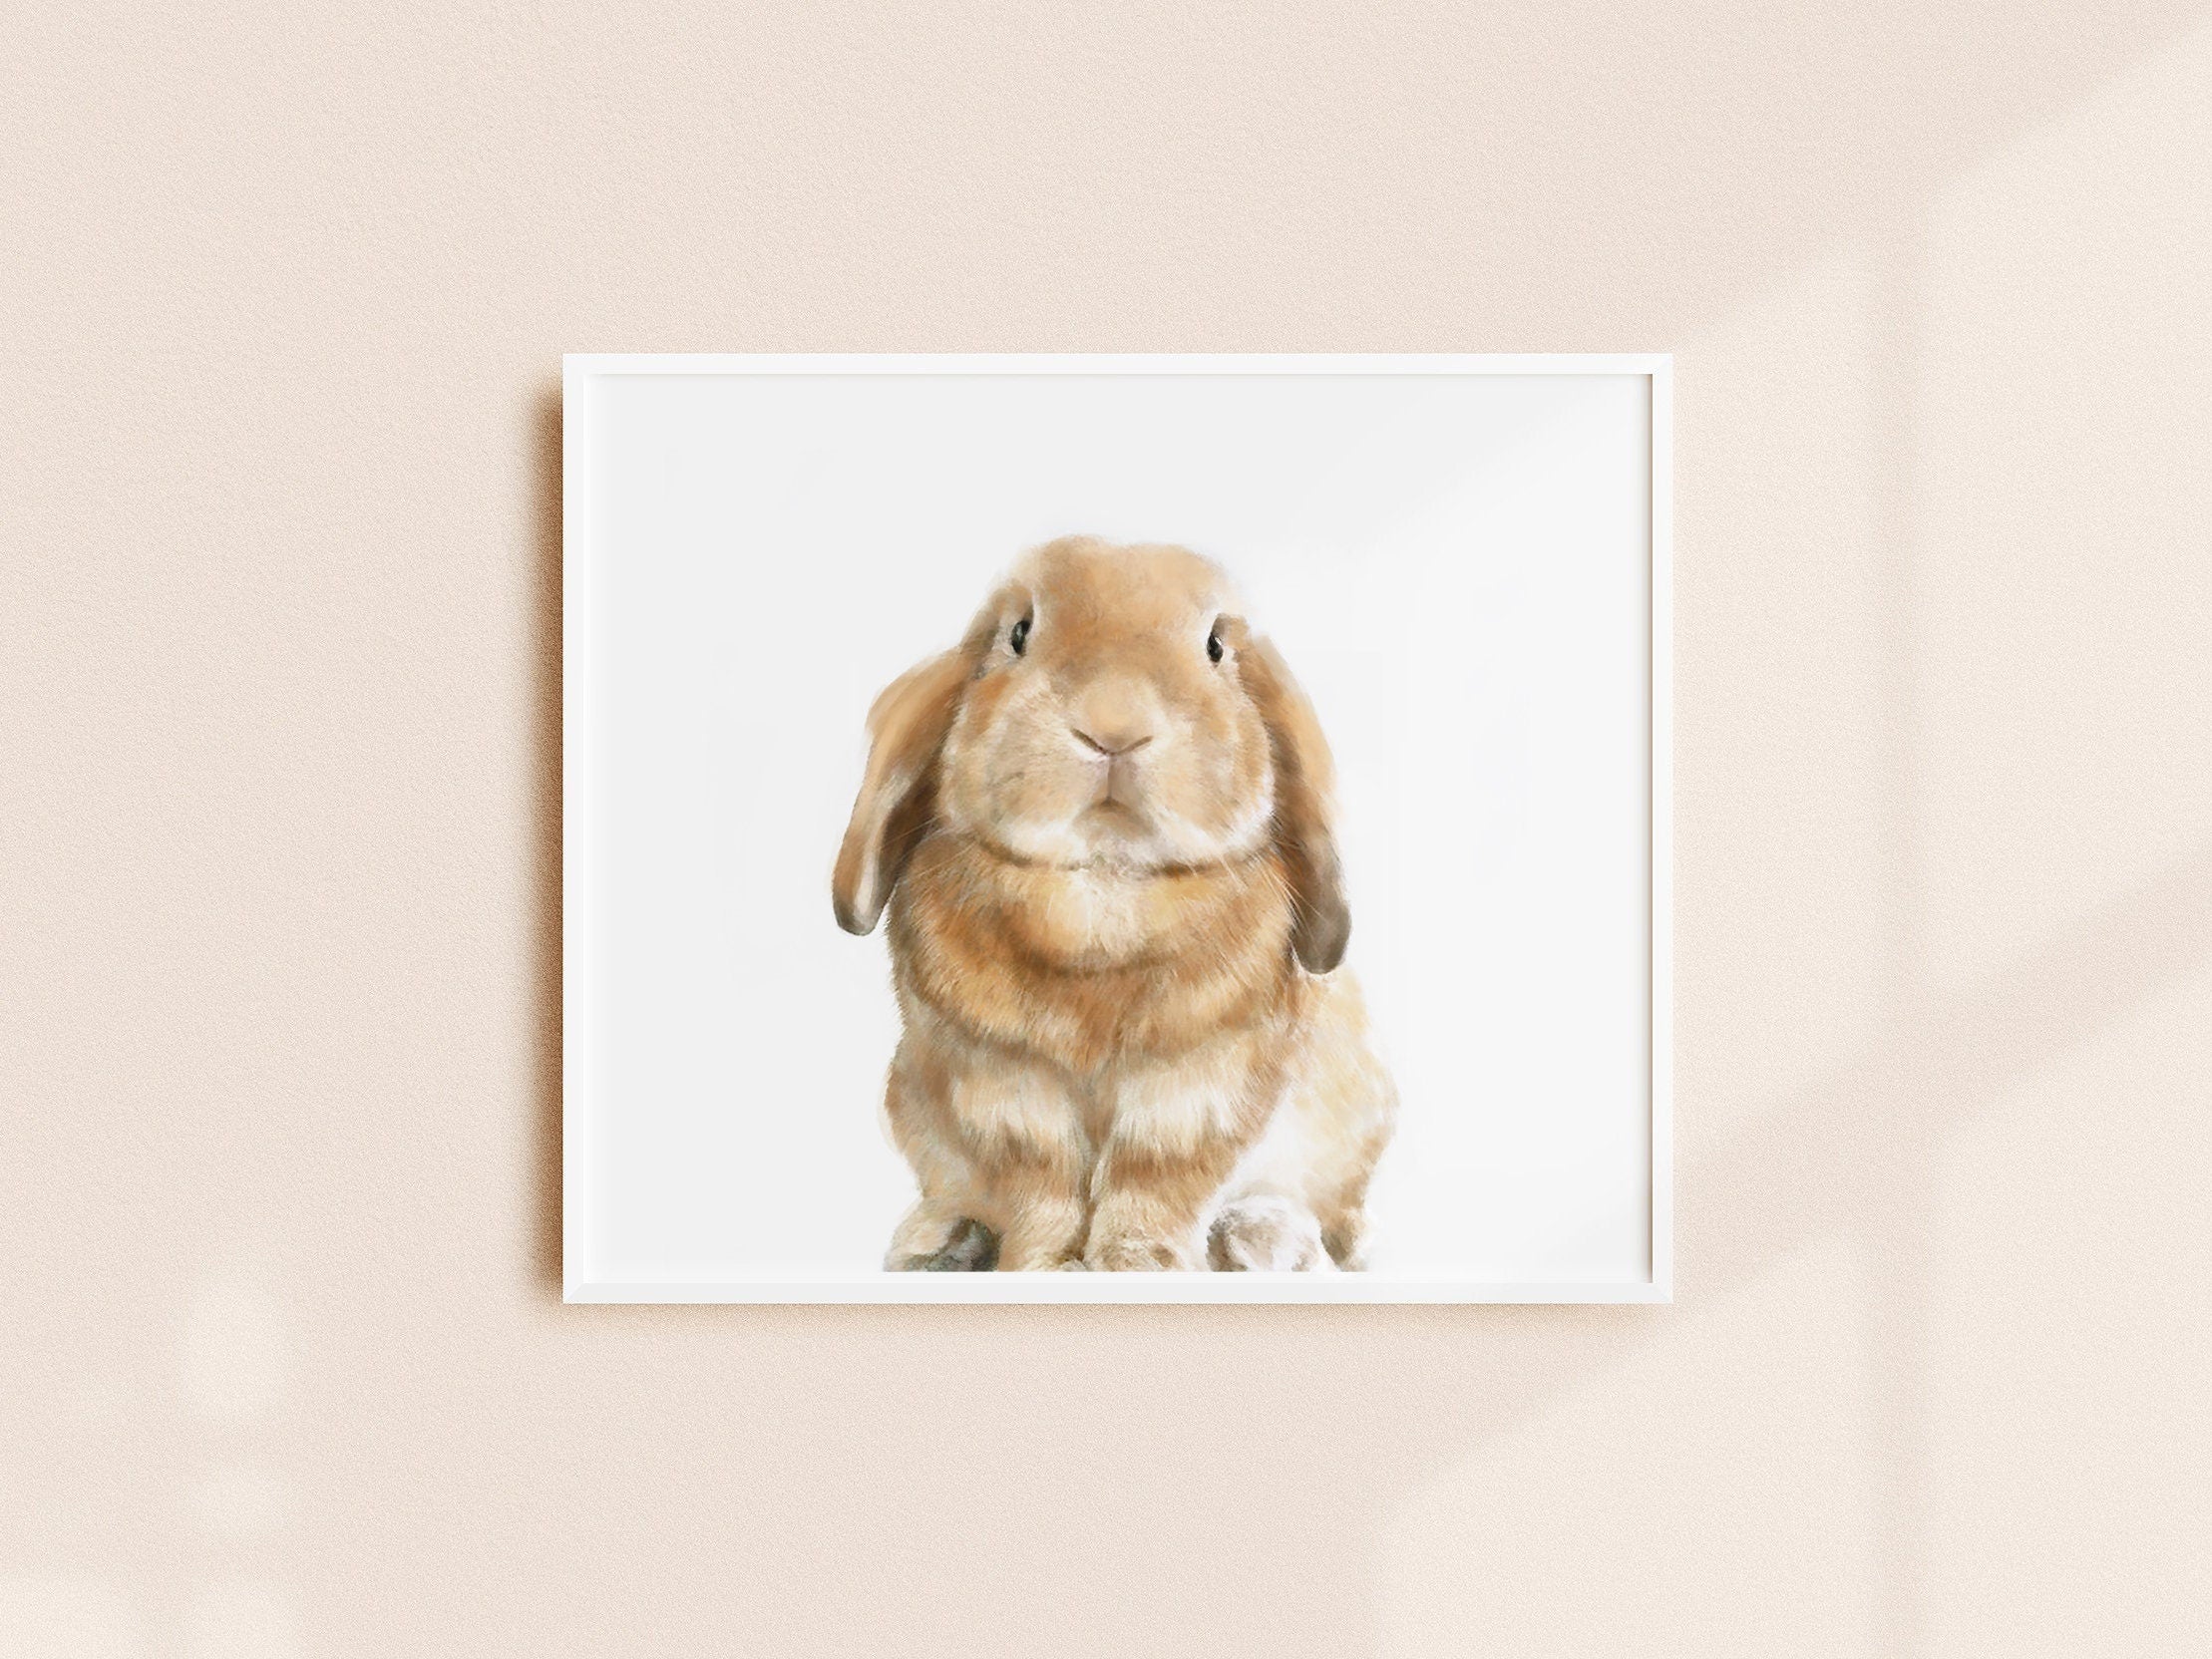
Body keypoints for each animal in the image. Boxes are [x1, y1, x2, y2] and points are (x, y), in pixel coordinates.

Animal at [833, 536, 1397, 1271]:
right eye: (1019, 634)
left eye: (1216, 646)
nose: (1114, 727)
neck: (1105, 885)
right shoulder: (1002, 1086)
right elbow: (1040, 1183)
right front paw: (1042, 1264)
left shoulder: (1199, 1086)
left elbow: (1154, 1180)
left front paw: (1140, 1263)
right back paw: (939, 1241)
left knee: (1332, 1218)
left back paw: (1264, 1240)